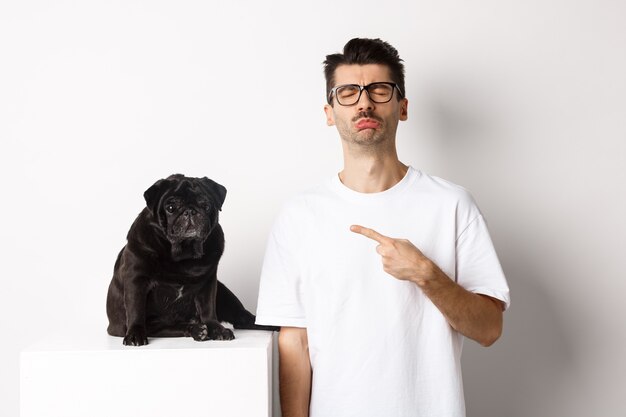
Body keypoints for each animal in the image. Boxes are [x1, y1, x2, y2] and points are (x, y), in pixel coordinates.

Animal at [106, 173, 274, 344]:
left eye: (206, 205)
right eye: (170, 208)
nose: (190, 211)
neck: (183, 253)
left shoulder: (208, 283)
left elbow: (208, 309)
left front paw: (216, 329)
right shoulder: (136, 279)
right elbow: (136, 309)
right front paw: (135, 334)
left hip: (224, 293)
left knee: (242, 318)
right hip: (156, 325)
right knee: (171, 327)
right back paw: (197, 330)